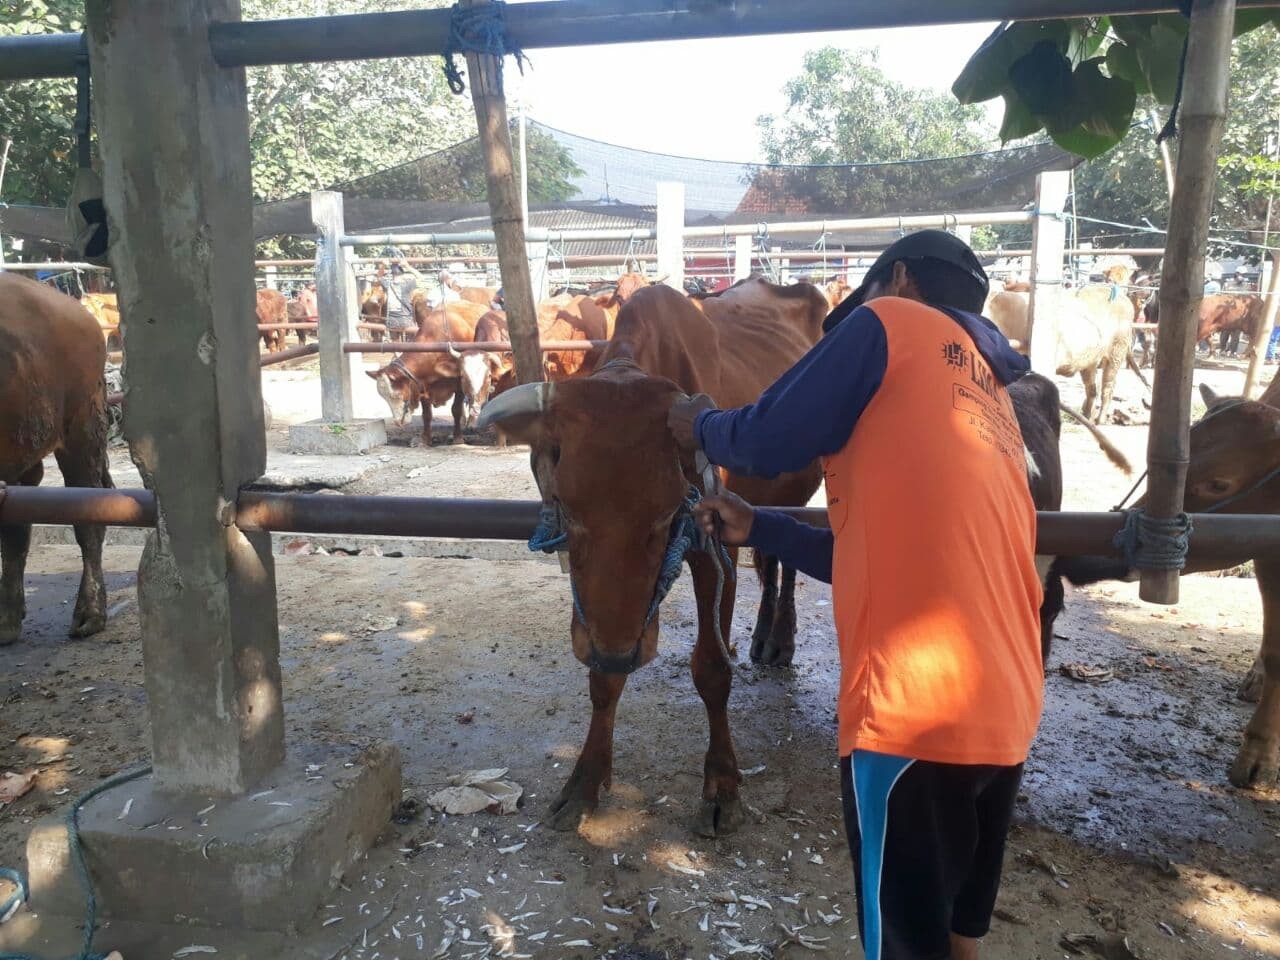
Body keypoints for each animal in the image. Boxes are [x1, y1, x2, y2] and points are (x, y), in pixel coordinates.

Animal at [373, 302, 491, 445]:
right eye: (384, 397)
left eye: (397, 395)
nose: (397, 422)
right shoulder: (423, 385)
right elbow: (427, 415)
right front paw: (425, 439)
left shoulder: (459, 384)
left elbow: (456, 410)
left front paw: (458, 438)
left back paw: (471, 423)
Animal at [476, 277, 824, 834]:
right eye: (566, 507)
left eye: (666, 516)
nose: (621, 652)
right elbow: (602, 680)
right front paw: (585, 780)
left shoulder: (716, 550)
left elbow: (711, 669)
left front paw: (722, 784)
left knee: (786, 561)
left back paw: (778, 639)